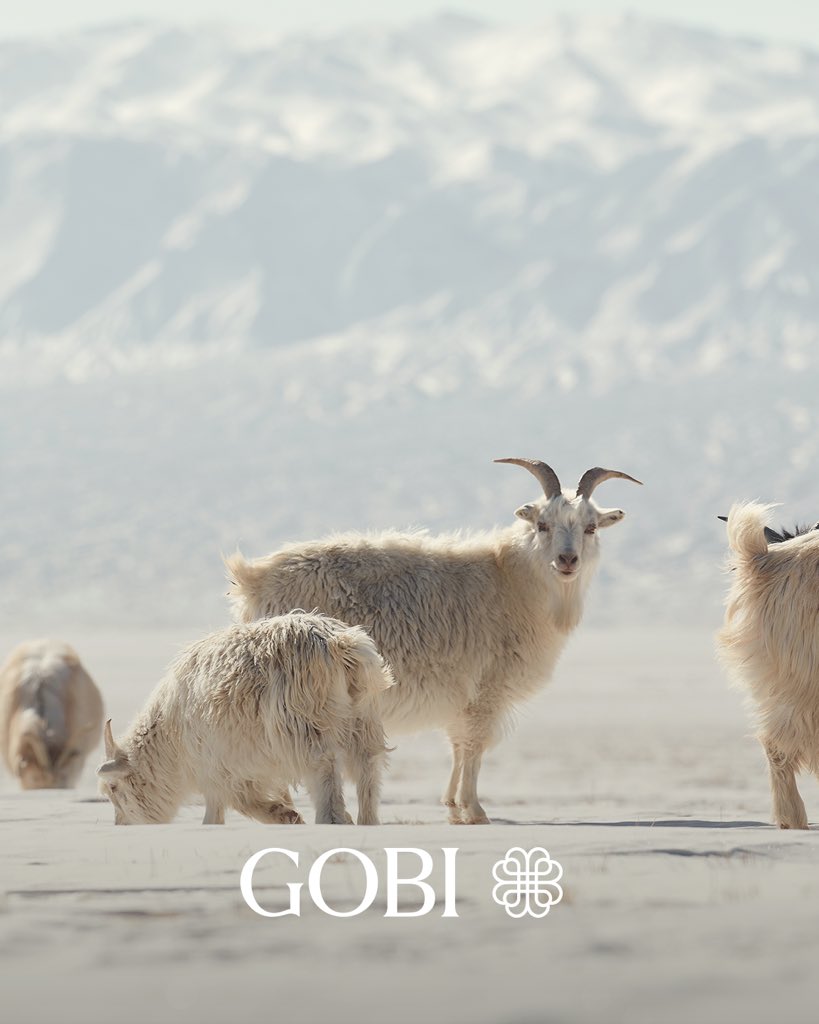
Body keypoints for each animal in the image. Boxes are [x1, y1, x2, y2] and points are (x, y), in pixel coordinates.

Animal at [97, 613, 392, 825]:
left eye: (114, 787)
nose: (121, 824)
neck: (170, 736)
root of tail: (339, 643)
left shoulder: (216, 765)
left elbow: (232, 803)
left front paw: (282, 815)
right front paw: (285, 813)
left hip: (303, 722)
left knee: (324, 764)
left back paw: (331, 819)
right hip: (363, 719)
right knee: (368, 765)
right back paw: (367, 820)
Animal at [226, 459, 641, 824]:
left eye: (591, 527)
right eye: (542, 524)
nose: (567, 560)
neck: (511, 579)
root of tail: (253, 578)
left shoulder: (463, 696)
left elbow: (458, 745)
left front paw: (453, 808)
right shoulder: (486, 689)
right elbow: (473, 747)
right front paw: (474, 810)